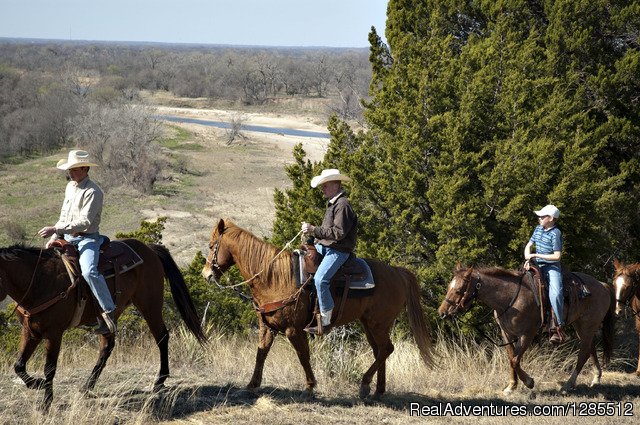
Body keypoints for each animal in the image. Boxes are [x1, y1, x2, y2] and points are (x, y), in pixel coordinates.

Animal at [0, 238, 205, 408]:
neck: (39, 282)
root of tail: (149, 248)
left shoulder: (54, 333)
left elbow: (49, 368)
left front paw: (46, 403)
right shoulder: (30, 330)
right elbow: (19, 365)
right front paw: (38, 384)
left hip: (150, 306)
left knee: (162, 337)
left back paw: (160, 380)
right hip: (114, 312)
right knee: (107, 347)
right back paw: (87, 386)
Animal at [204, 219, 436, 398]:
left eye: (211, 246)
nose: (206, 275)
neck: (273, 277)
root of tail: (398, 272)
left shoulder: (294, 329)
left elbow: (303, 356)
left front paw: (309, 387)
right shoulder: (267, 327)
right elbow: (261, 354)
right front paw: (251, 386)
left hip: (378, 324)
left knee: (386, 349)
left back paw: (364, 385)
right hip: (370, 325)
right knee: (380, 351)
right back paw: (377, 391)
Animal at [438, 264, 612, 392]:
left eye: (458, 290)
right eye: (448, 287)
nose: (442, 313)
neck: (510, 298)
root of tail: (602, 285)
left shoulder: (527, 334)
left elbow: (515, 360)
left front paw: (529, 382)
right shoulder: (507, 334)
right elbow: (511, 358)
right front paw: (511, 386)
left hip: (588, 325)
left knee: (583, 353)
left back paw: (568, 384)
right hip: (580, 325)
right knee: (590, 348)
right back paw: (596, 378)